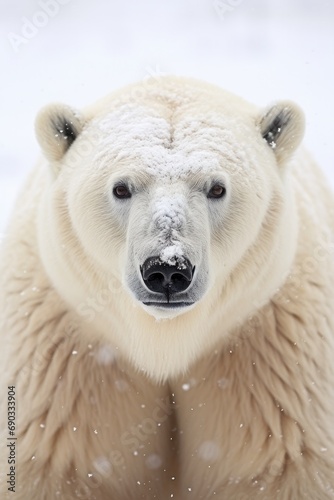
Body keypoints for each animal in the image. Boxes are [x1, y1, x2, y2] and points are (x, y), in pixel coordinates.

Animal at [0, 76, 334, 498]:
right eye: (121, 188)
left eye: (217, 188)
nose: (168, 270)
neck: (165, 342)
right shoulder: (66, 362)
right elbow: (60, 459)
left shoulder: (272, 359)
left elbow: (279, 463)